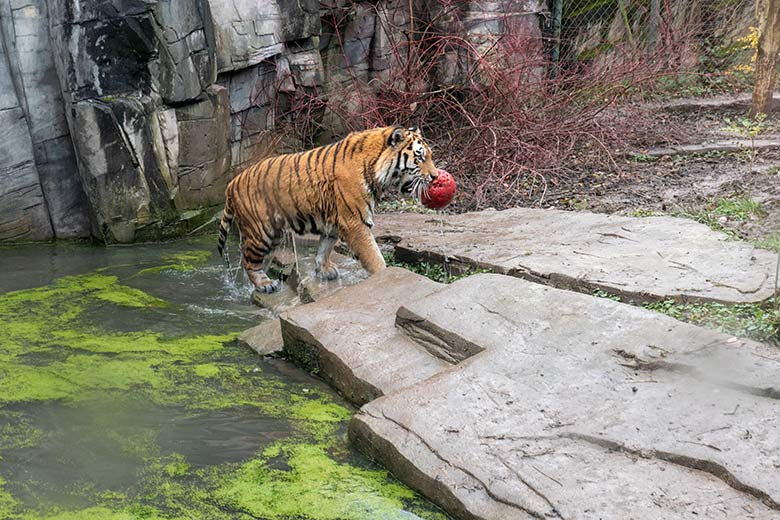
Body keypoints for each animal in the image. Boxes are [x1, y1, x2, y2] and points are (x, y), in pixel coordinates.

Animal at [216, 126, 438, 292]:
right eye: (419, 158)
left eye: (430, 156)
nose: (435, 176)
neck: (374, 169)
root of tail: (231, 183)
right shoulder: (355, 222)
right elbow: (374, 256)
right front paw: (386, 277)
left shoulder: (334, 222)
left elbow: (324, 248)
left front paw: (324, 271)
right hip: (261, 232)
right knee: (248, 261)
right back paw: (265, 284)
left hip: (274, 234)